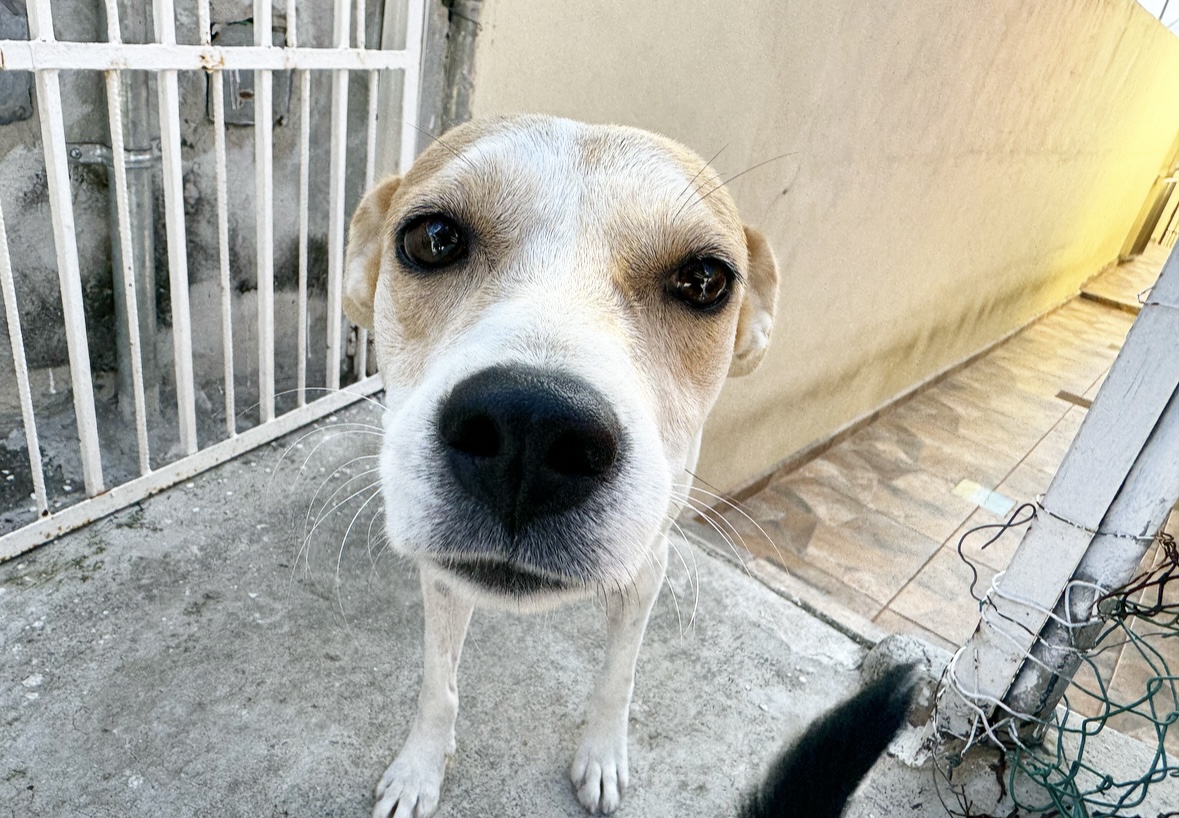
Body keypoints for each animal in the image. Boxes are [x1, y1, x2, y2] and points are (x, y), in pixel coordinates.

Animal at [342, 113, 782, 817]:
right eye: (432, 239)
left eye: (705, 281)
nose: (532, 429)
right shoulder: (442, 576)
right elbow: (439, 684)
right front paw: (419, 770)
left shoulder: (646, 567)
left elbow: (618, 677)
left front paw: (600, 754)